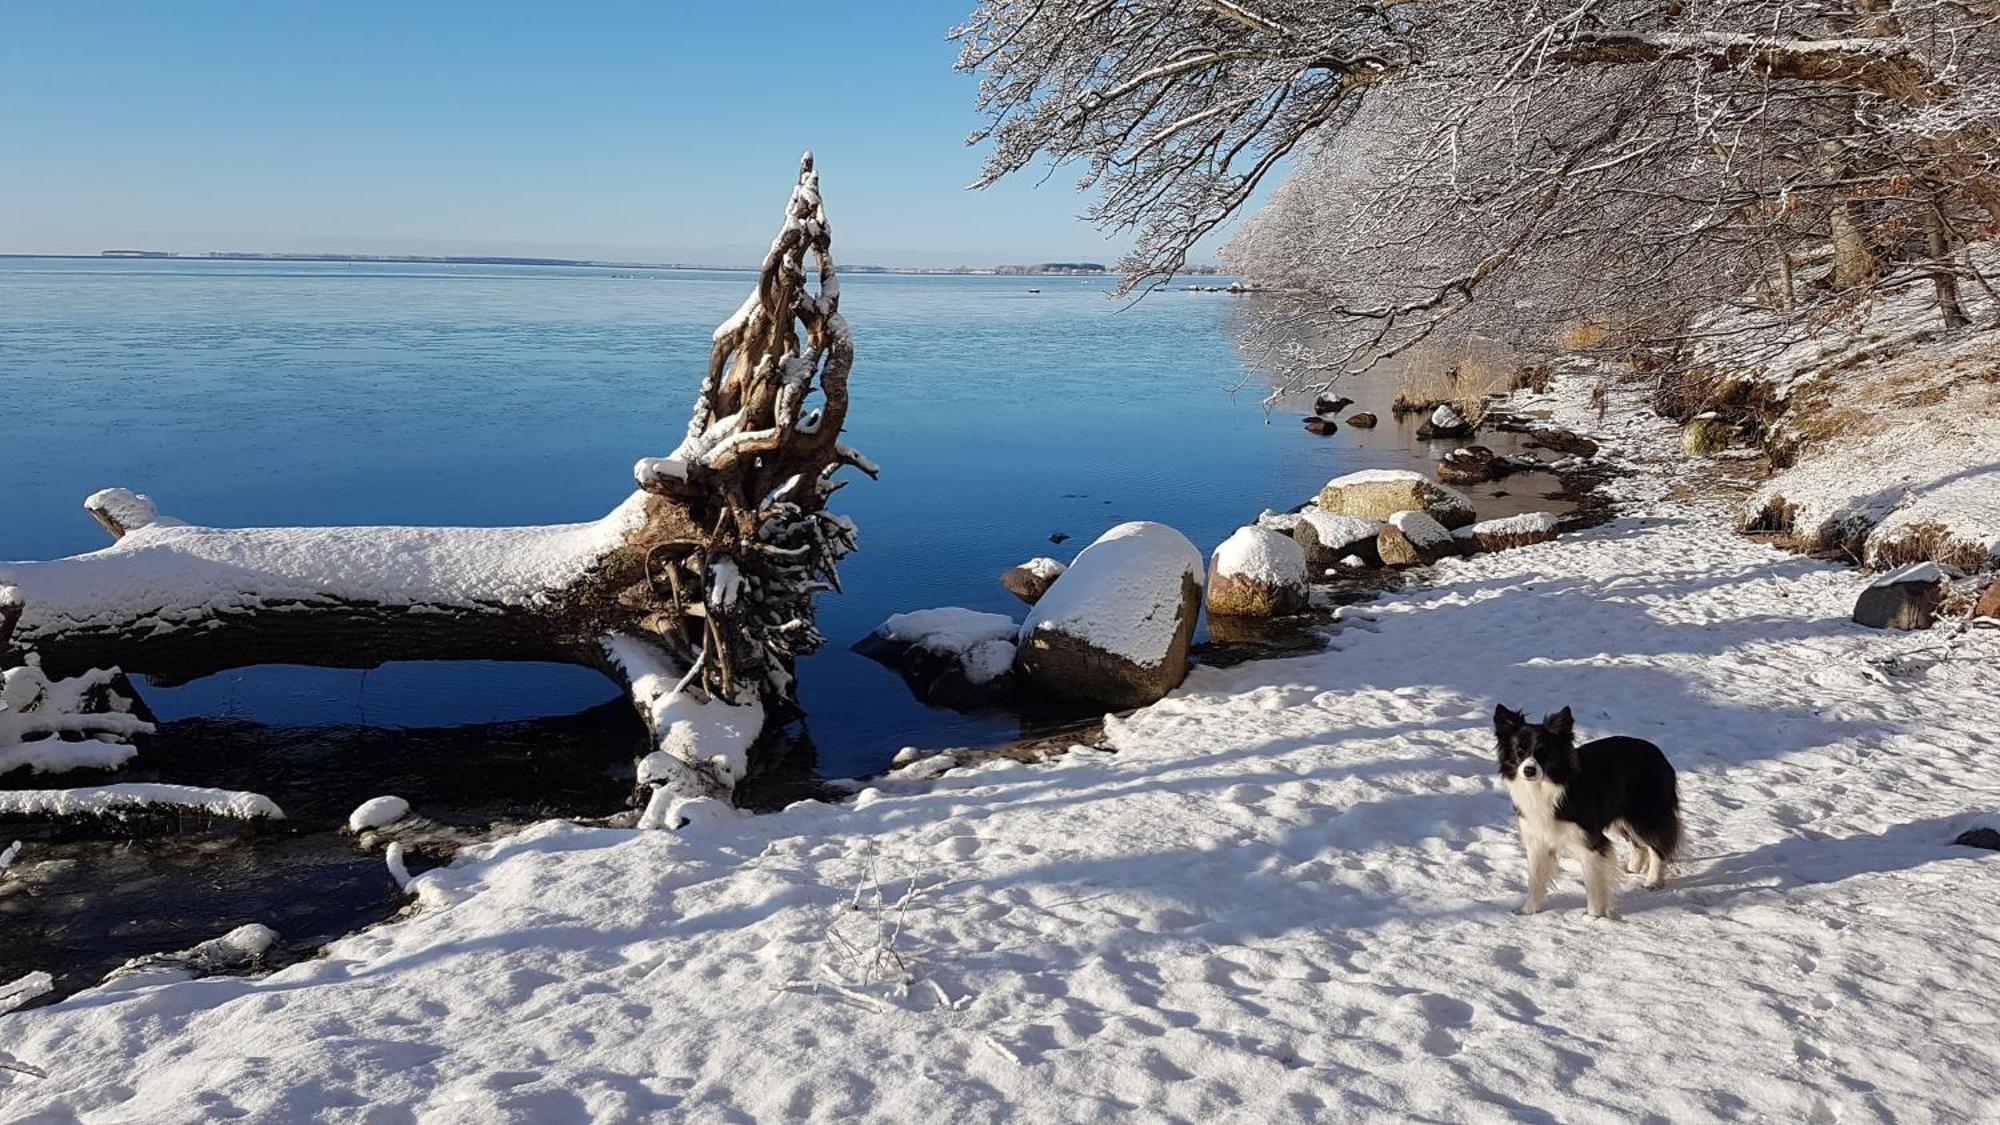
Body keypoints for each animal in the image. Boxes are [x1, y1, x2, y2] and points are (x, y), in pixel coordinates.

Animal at [1496, 704, 1680, 916]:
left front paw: (1593, 916)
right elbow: (1534, 879)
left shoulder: (1590, 841)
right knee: (1638, 843)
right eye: (1519, 751)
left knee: (1657, 844)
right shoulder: (1536, 839)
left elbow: (1593, 883)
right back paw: (1633, 868)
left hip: (1645, 815)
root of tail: (1659, 754)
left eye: (1543, 751)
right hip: (1623, 817)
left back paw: (1653, 881)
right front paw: (1528, 911)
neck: (1547, 787)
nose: (1529, 770)